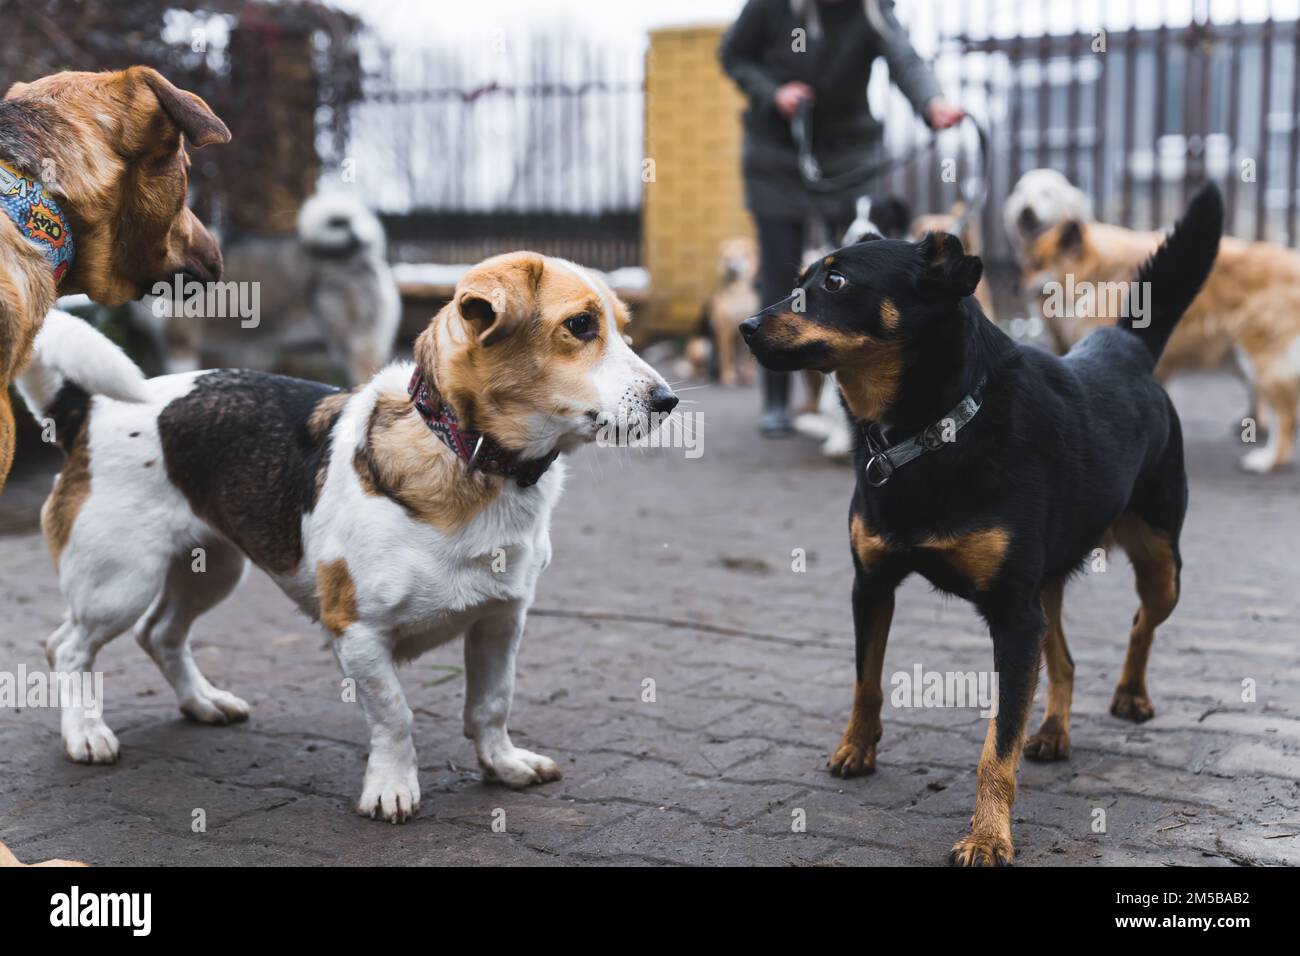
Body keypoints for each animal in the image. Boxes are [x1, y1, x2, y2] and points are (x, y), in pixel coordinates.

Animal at [738, 183, 1222, 863]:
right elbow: (866, 680)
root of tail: (1121, 348)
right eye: (796, 280)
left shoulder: (1013, 618)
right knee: (1064, 661)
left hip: (1160, 563)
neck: (933, 428)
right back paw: (1053, 730)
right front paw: (856, 747)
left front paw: (989, 835)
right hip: (1048, 585)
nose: (746, 327)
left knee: (1140, 622)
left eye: (834, 281)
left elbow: (998, 742)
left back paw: (1129, 693)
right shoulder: (873, 586)